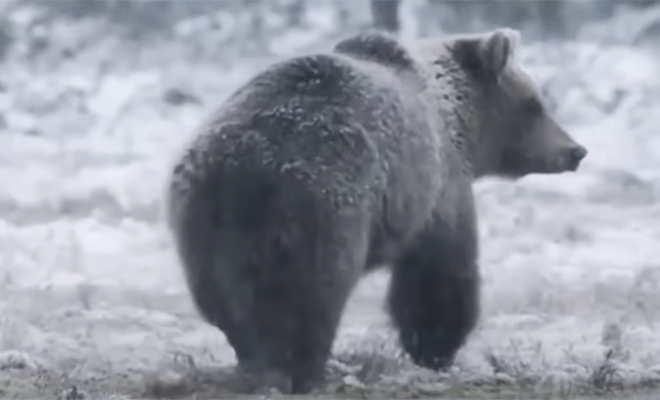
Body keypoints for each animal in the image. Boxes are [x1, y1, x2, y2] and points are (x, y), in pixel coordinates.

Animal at [165, 27, 588, 394]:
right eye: (535, 103)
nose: (576, 150)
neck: (457, 117)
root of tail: (245, 167)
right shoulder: (437, 185)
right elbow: (441, 273)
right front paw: (436, 350)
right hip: (326, 213)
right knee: (309, 302)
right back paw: (303, 371)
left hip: (203, 224)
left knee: (227, 305)